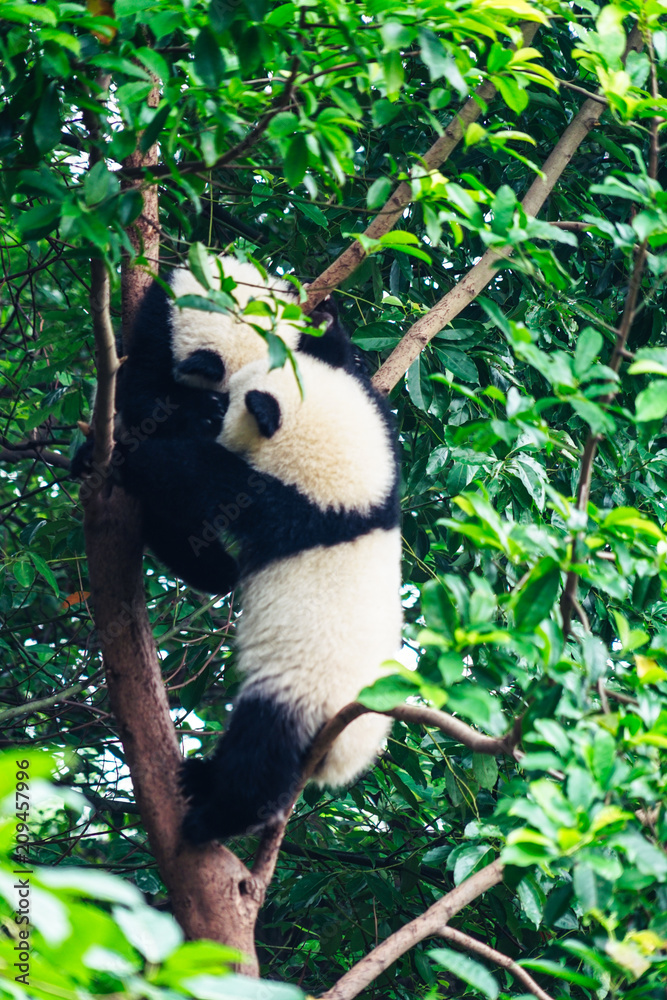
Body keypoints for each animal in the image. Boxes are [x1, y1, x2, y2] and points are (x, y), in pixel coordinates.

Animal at [115, 344, 401, 842]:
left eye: (226, 404)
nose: (208, 411)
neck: (352, 502)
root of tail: (347, 757)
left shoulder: (281, 507)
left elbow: (200, 492)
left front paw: (134, 459)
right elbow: (217, 572)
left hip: (301, 692)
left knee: (261, 751)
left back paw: (217, 816)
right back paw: (202, 778)